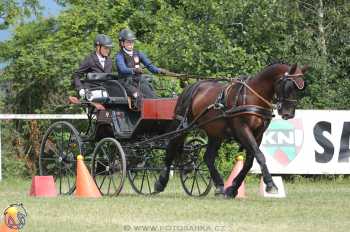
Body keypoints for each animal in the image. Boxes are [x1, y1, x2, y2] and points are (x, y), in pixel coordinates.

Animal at [154, 62, 308, 197]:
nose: (288, 113)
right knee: (171, 147)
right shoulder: (242, 129)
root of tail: (191, 86)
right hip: (182, 125)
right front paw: (271, 184)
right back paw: (160, 182)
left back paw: (220, 186)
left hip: (215, 132)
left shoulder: (258, 134)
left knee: (208, 157)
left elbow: (249, 161)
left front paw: (232, 189)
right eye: (288, 85)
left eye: (300, 87)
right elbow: (259, 156)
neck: (253, 96)